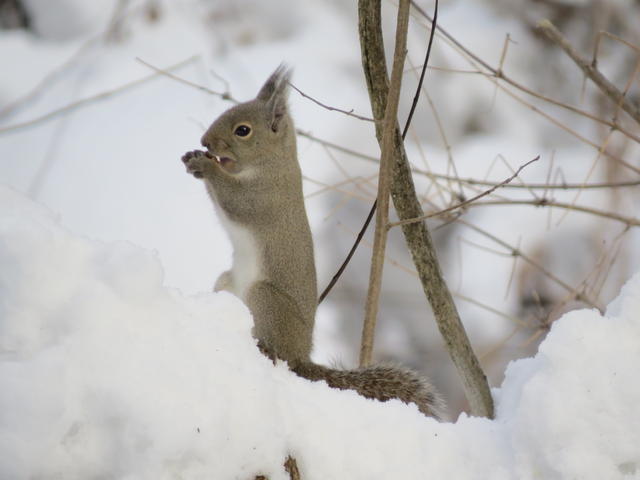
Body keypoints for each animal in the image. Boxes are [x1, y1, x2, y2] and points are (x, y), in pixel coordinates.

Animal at [180, 65, 444, 418]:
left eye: (243, 130)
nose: (205, 142)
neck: (271, 162)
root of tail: (302, 355)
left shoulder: (263, 198)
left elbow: (233, 201)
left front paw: (204, 165)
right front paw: (195, 157)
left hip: (265, 298)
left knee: (278, 354)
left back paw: (266, 348)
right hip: (226, 283)